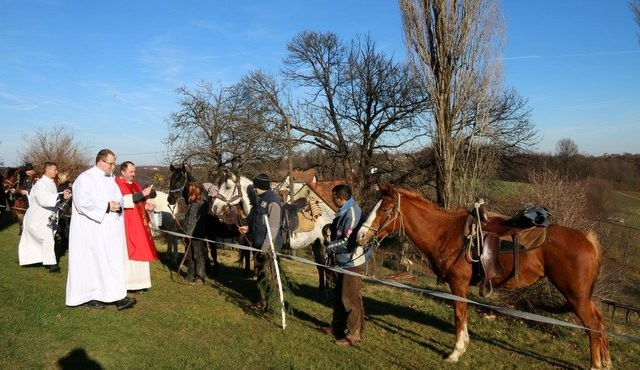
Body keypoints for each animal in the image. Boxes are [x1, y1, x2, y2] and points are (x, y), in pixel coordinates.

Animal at [358, 184, 612, 370]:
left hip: (575, 295)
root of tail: (588, 240)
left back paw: (595, 365)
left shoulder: (458, 285)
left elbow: (459, 314)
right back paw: (606, 361)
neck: (445, 233)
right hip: (581, 296)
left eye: (384, 210)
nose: (360, 235)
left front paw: (456, 352)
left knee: (592, 325)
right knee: (600, 322)